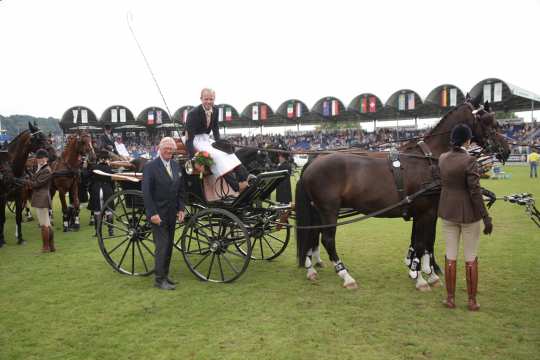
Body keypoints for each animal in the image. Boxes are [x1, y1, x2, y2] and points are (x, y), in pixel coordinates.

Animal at [296, 100, 510, 290]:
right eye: (490, 122)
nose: (506, 151)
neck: (429, 160)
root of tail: (314, 160)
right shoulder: (426, 212)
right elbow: (422, 242)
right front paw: (421, 277)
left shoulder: (425, 212)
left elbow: (422, 241)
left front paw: (423, 271)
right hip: (329, 209)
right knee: (327, 239)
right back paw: (345, 275)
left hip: (319, 210)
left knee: (313, 233)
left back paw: (310, 267)